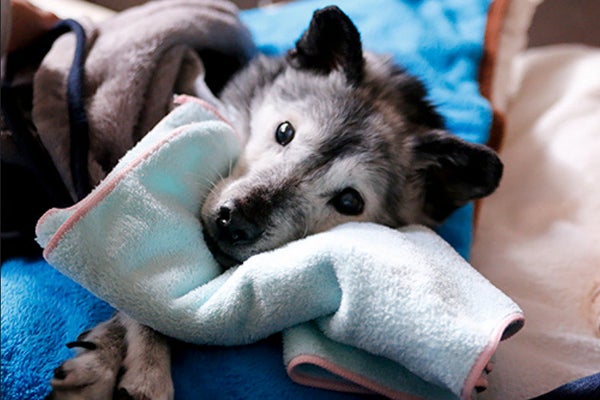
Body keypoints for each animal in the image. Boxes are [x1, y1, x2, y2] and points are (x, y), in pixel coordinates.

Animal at [49, 6, 504, 400]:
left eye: (350, 200)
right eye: (285, 131)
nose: (234, 222)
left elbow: (150, 298)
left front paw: (124, 366)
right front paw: (127, 367)